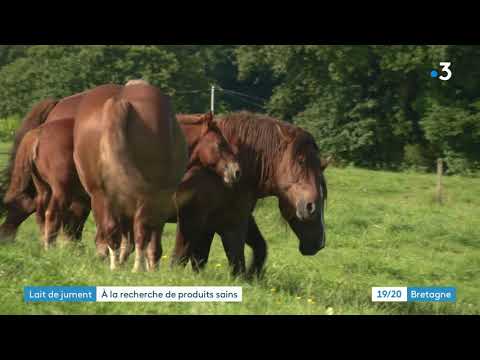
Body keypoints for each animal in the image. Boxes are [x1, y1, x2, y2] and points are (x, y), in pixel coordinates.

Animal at [172, 111, 330, 278]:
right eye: (300, 161)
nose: (320, 242)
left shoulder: (232, 219)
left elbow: (257, 249)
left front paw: (253, 275)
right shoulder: (202, 220)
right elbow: (182, 258)